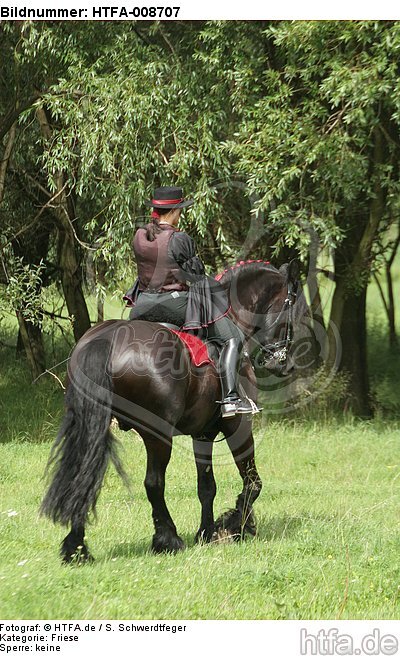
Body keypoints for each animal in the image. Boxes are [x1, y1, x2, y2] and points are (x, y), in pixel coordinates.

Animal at [40, 259, 309, 562]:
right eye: (293, 307)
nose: (284, 365)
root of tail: (107, 339)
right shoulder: (237, 426)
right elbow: (252, 482)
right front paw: (235, 525)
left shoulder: (202, 433)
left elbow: (207, 486)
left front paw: (207, 532)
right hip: (157, 435)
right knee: (153, 483)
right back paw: (167, 539)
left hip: (91, 425)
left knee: (83, 473)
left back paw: (76, 548)